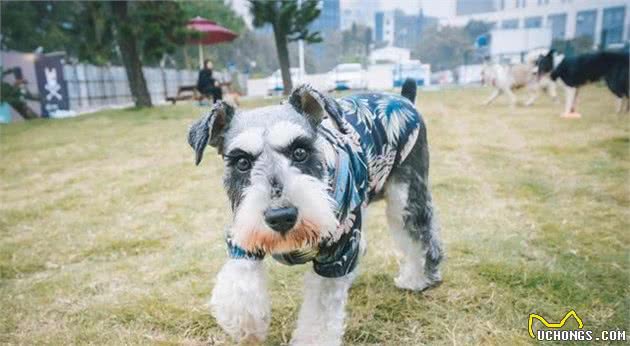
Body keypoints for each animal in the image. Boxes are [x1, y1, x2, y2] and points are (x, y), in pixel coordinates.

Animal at [188, 78, 444, 346]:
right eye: (242, 162)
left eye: (300, 152)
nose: (281, 217)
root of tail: (404, 99)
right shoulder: (243, 235)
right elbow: (239, 280)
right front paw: (247, 326)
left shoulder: (338, 251)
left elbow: (321, 312)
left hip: (406, 196)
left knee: (420, 236)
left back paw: (418, 279)